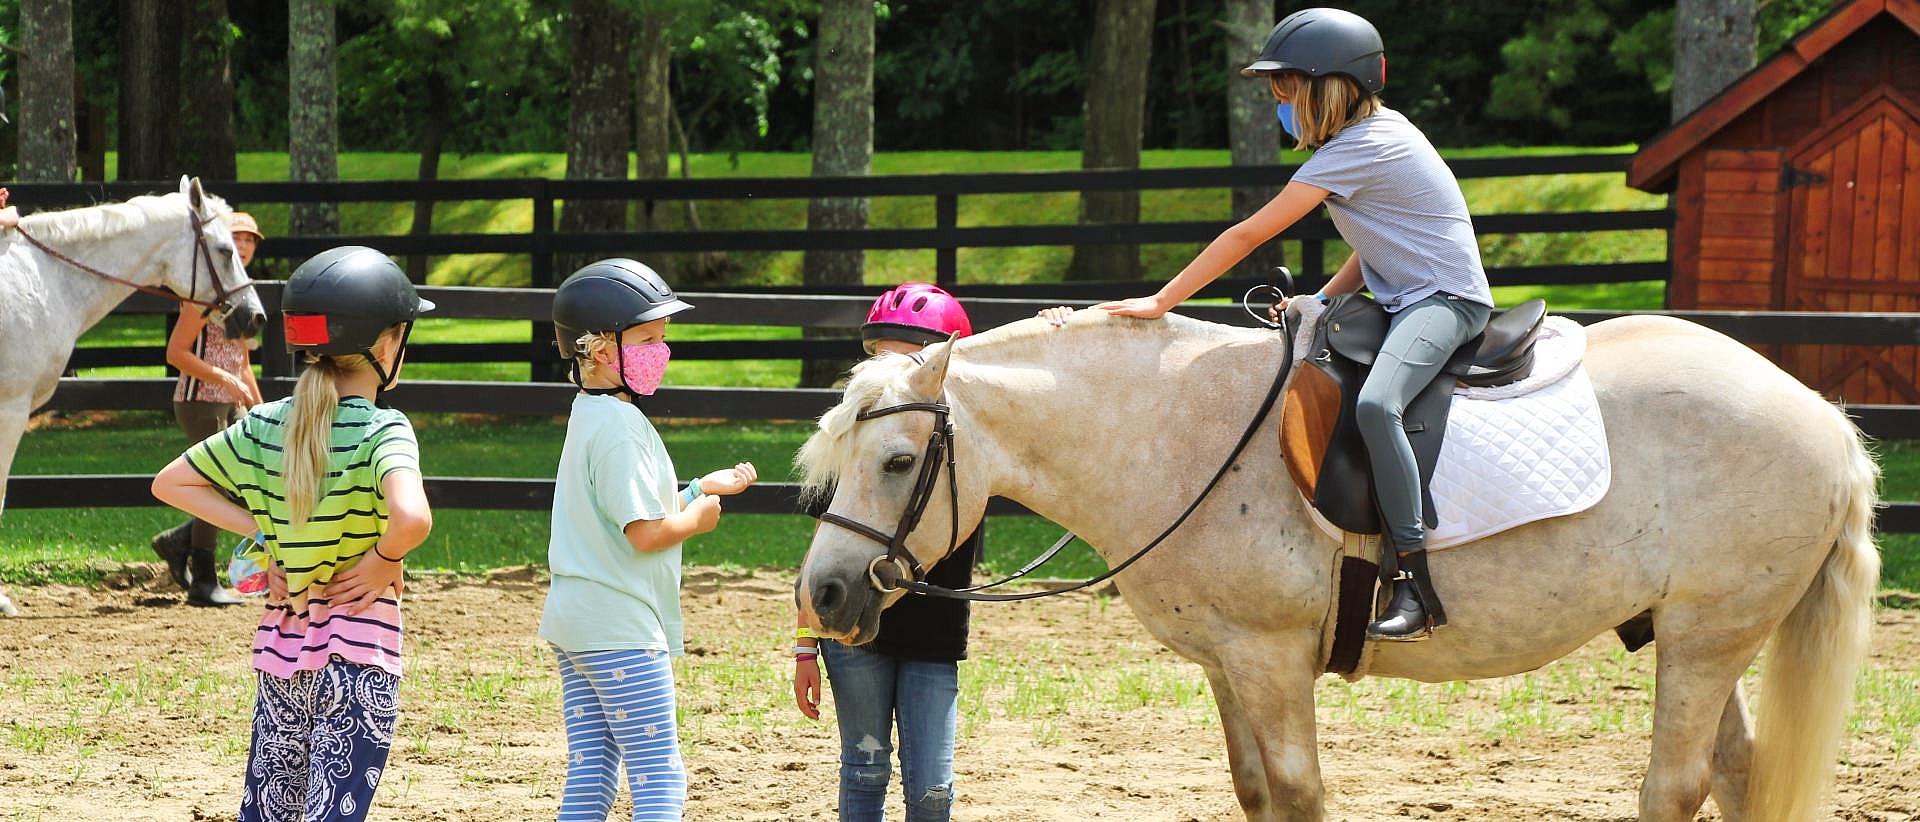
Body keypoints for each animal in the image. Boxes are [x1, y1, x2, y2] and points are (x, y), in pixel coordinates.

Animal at [793, 305, 1879, 822]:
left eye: (898, 462)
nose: (825, 594)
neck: (1174, 428)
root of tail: (1821, 415)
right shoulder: (1230, 665)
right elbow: (1256, 791)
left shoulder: (1272, 660)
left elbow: (1300, 791)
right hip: (1699, 638)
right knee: (1737, 778)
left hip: (1707, 638)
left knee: (1675, 788)